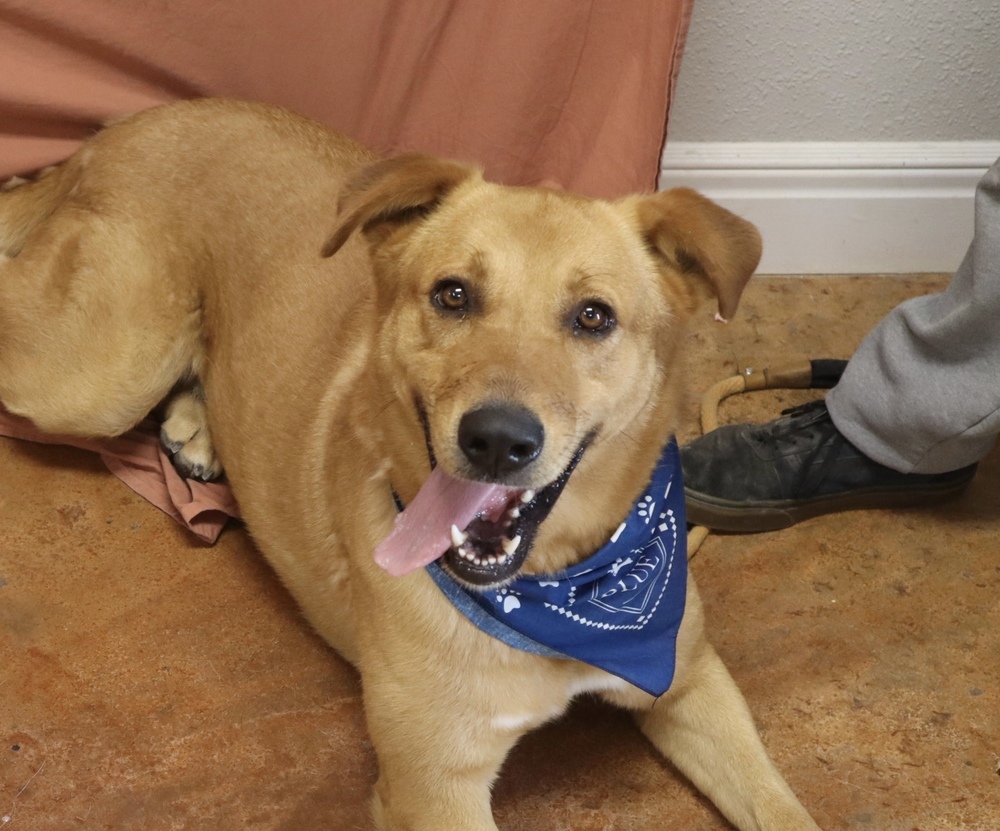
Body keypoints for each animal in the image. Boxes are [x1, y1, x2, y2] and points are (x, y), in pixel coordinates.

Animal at [0, 101, 820, 828]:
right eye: (452, 294)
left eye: (595, 316)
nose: (496, 440)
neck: (557, 591)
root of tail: (129, 123)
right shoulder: (434, 790)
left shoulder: (691, 679)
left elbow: (783, 808)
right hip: (94, 377)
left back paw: (198, 427)